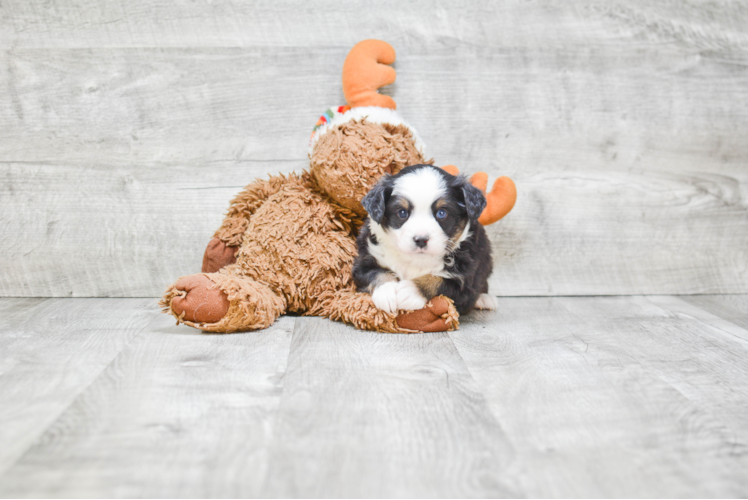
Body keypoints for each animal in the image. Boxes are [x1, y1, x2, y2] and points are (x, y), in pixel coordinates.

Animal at [356, 163, 496, 312]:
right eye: (402, 212)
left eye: (441, 213)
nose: (421, 240)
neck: (416, 260)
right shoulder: (363, 263)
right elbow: (378, 273)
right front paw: (387, 292)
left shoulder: (466, 284)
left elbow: (438, 280)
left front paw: (409, 291)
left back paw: (485, 299)